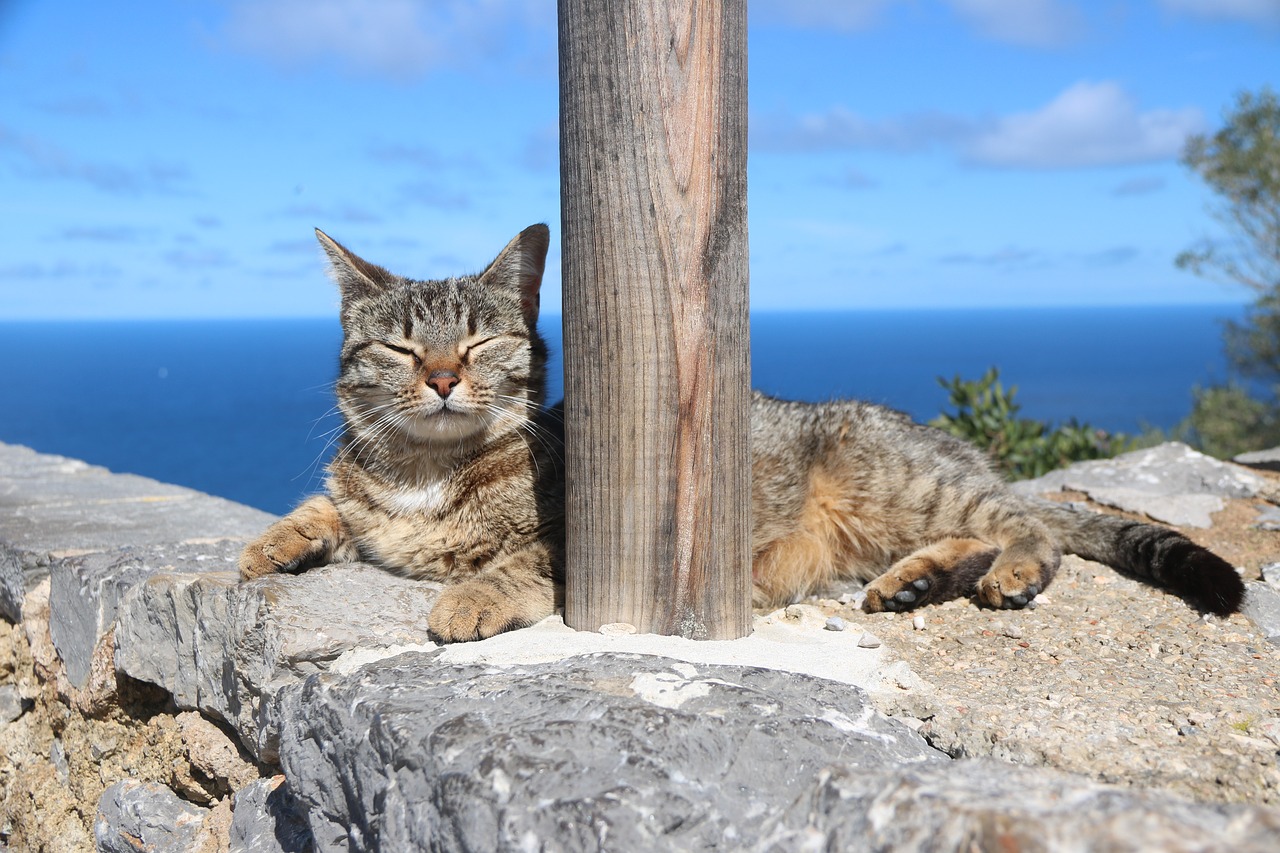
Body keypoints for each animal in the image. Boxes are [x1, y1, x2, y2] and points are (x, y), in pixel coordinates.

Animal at [240, 224, 1239, 637]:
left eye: (481, 341)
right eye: (401, 347)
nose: (444, 377)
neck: (427, 468)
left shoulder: (592, 536)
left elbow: (515, 561)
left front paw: (473, 593)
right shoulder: (362, 494)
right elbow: (330, 504)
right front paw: (275, 540)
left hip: (905, 486)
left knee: (1029, 526)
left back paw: (1013, 567)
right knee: (974, 536)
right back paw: (915, 583)